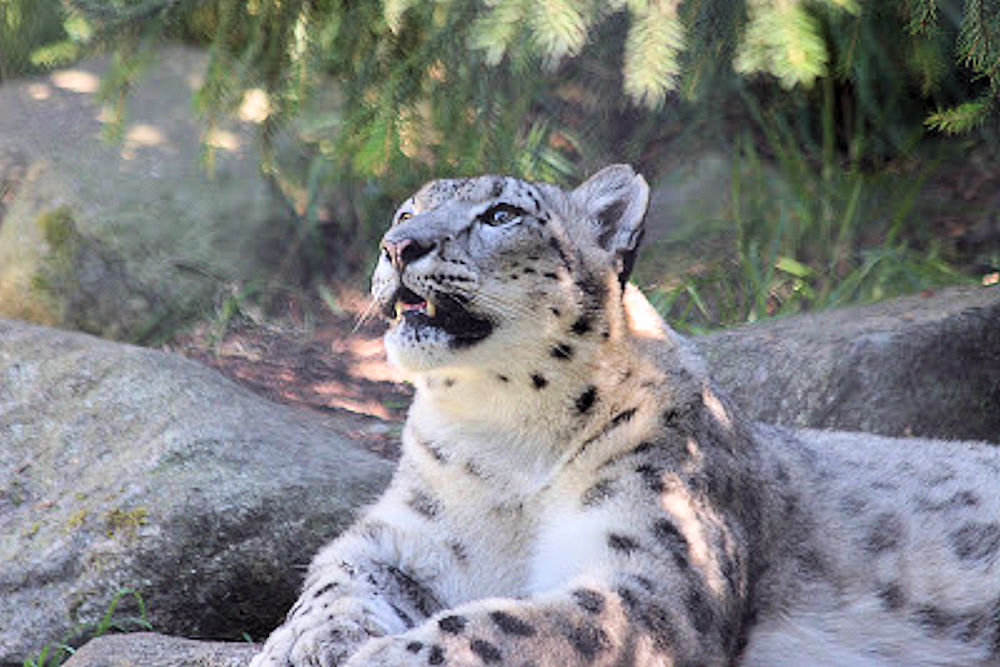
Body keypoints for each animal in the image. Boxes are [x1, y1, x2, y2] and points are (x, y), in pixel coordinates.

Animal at [251, 164, 1000, 666]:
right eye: (406, 211)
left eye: (500, 214)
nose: (398, 246)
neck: (503, 441)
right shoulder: (401, 533)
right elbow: (333, 575)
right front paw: (308, 640)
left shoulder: (649, 576)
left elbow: (509, 625)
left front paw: (380, 656)